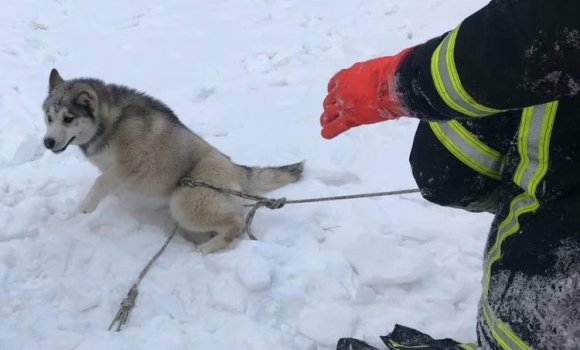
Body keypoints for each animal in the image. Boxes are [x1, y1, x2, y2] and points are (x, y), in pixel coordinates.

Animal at [42, 69, 304, 254]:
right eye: (48, 117)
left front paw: (86, 205)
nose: (47, 141)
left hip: (186, 201)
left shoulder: (133, 163)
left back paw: (208, 247)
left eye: (68, 118)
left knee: (235, 222)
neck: (110, 124)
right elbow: (107, 181)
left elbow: (100, 180)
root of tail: (233, 166)